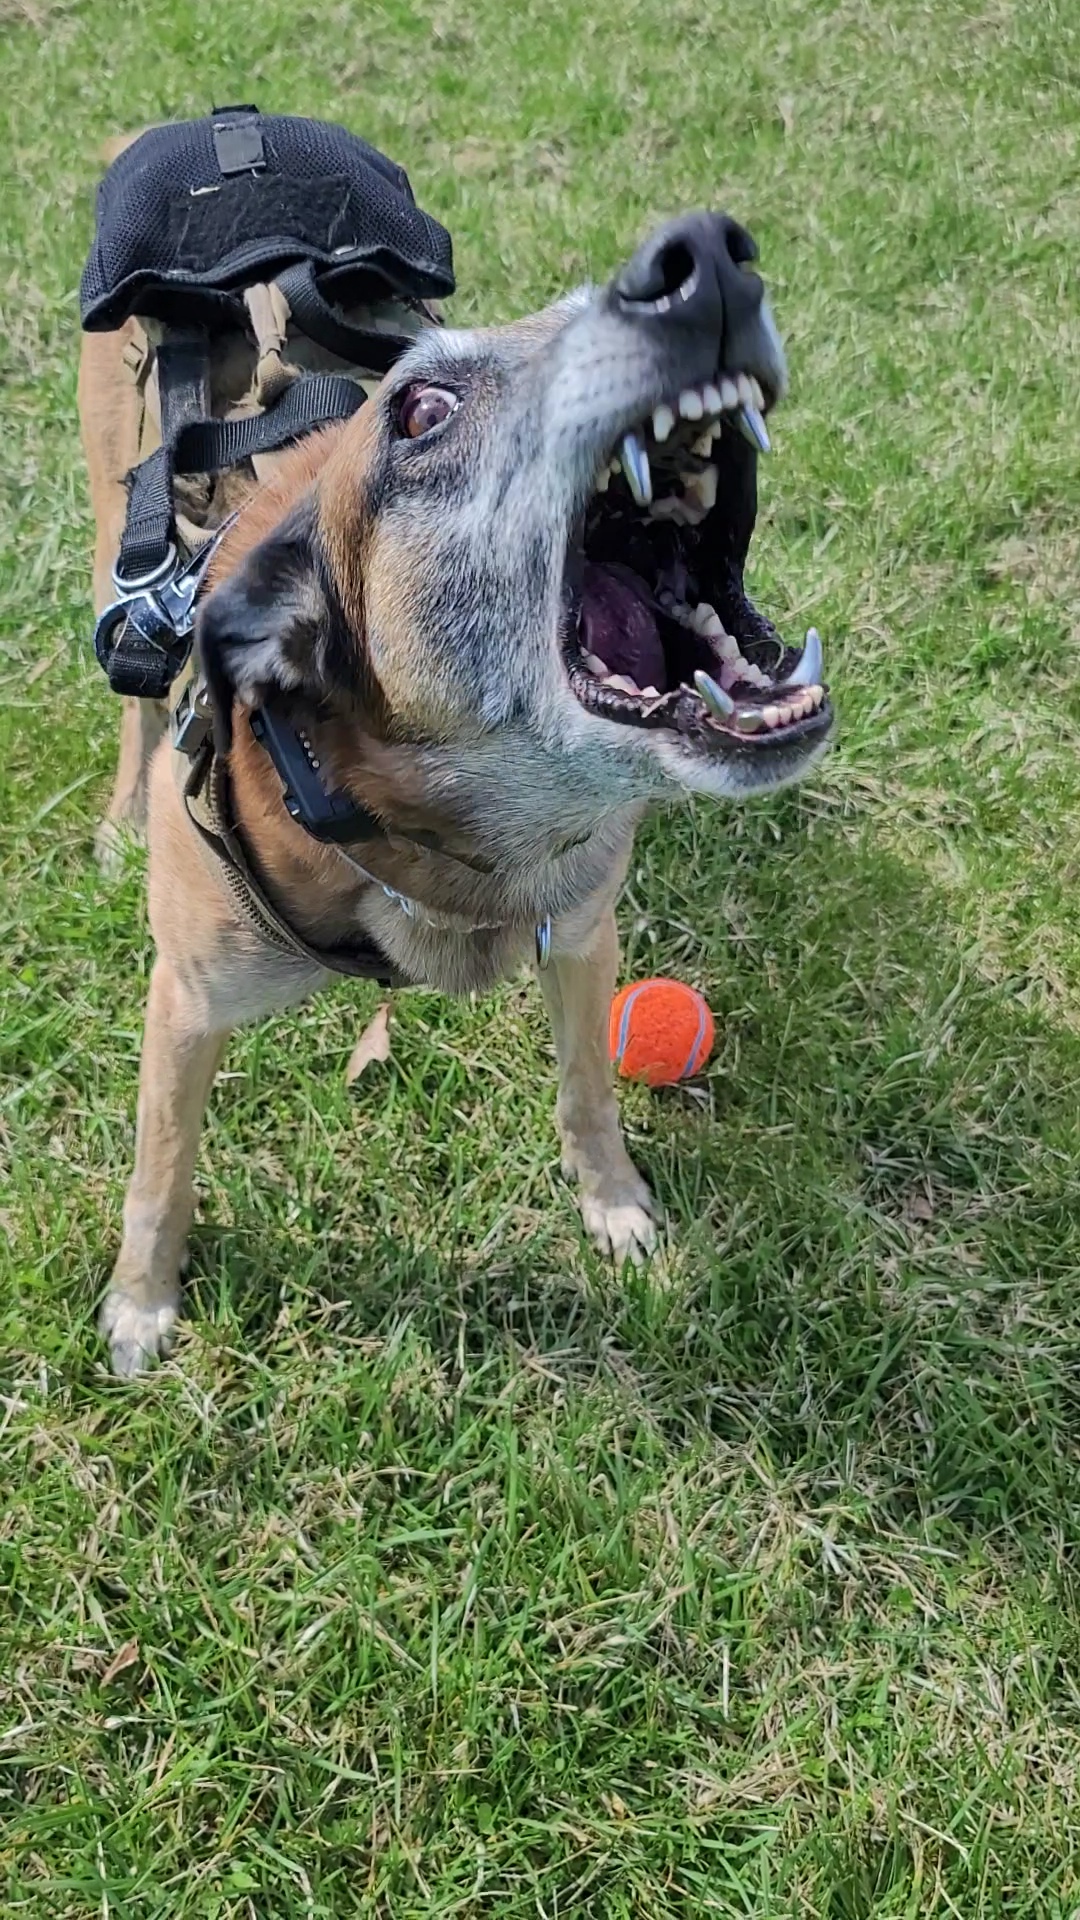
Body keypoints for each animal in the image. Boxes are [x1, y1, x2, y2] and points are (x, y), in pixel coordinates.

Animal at [81, 202, 833, 1376]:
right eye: (422, 410)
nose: (706, 260)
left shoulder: (581, 933)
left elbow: (588, 1091)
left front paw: (613, 1204)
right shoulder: (188, 1002)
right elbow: (161, 1173)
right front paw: (142, 1302)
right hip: (115, 510)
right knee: (132, 684)